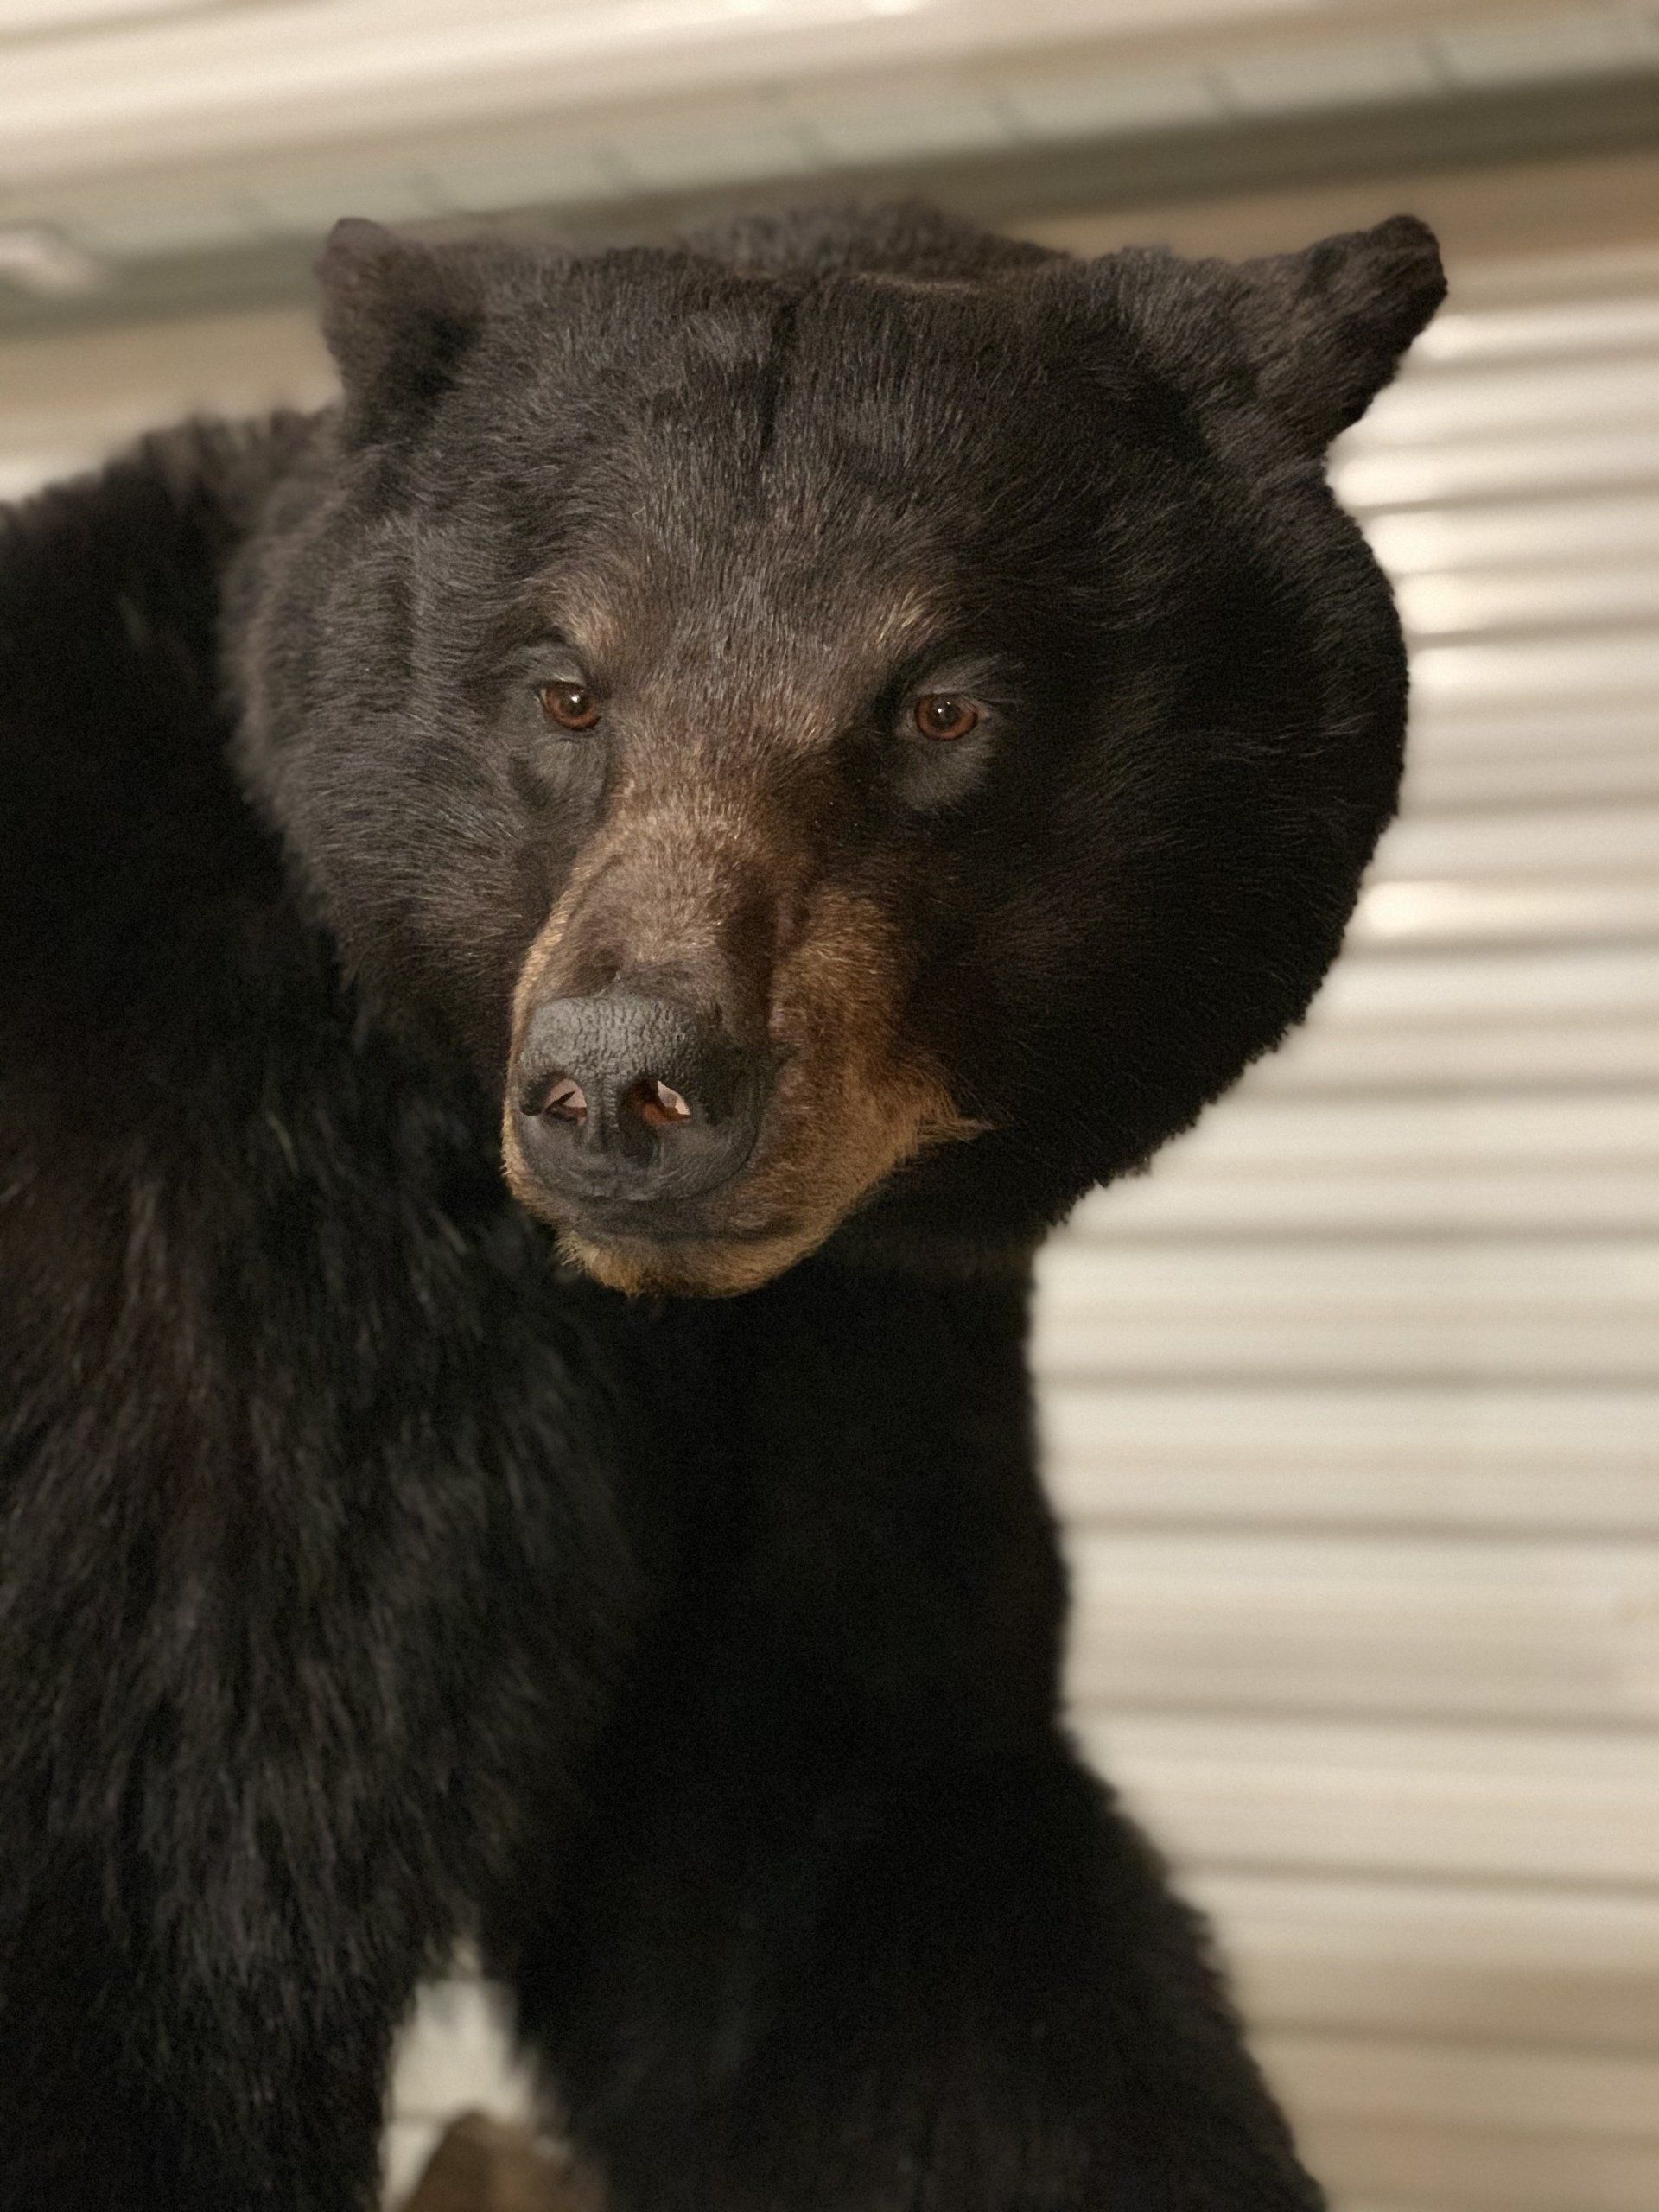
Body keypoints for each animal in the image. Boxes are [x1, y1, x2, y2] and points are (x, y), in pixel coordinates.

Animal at [0, 199, 1444, 2211]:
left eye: (938, 703)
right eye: (563, 685)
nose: (627, 1081)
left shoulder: (850, 1352)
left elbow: (852, 1861)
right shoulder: (191, 1306)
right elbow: (146, 1913)